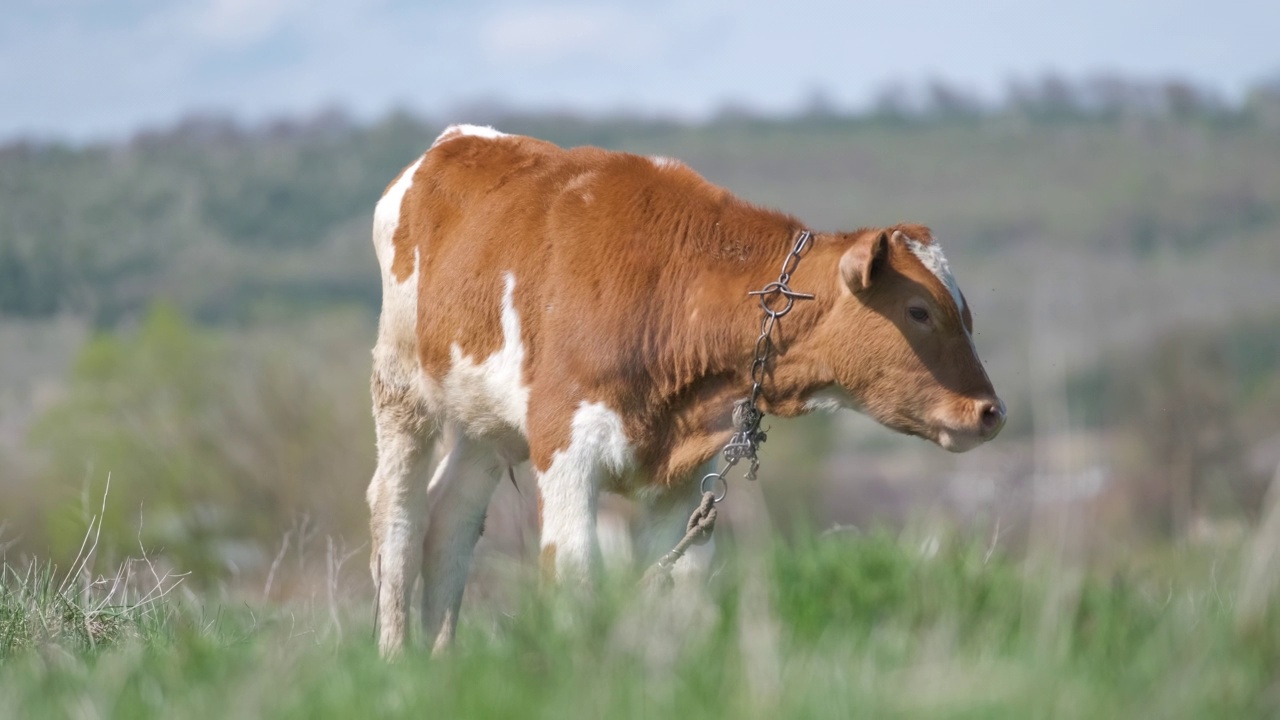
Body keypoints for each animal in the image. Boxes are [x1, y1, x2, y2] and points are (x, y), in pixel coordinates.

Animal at [366, 124, 1003, 655]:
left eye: (968, 314)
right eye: (919, 310)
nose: (990, 412)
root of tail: (452, 142)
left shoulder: (682, 478)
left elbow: (680, 585)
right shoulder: (566, 448)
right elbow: (574, 576)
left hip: (486, 427)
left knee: (451, 518)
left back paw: (443, 663)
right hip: (401, 389)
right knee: (399, 520)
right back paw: (397, 662)